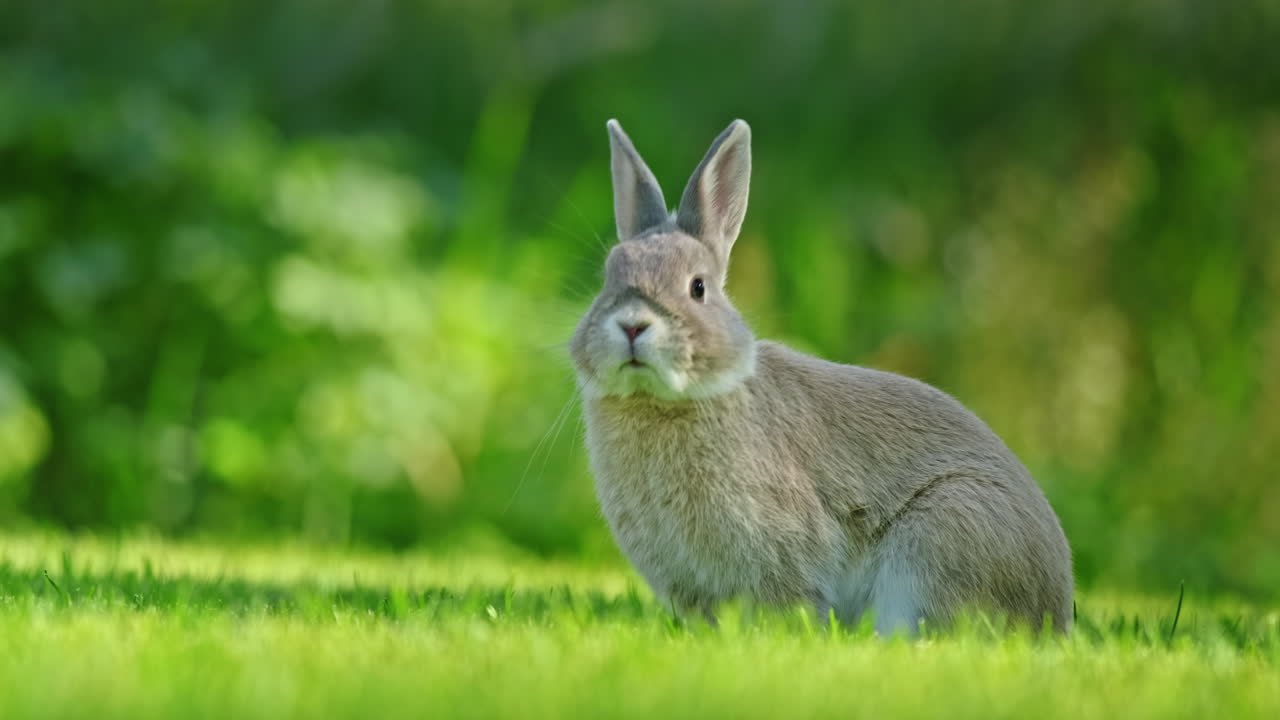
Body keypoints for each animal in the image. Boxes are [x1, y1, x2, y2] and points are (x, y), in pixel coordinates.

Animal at [569, 118, 1073, 634]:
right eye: (608, 278)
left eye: (697, 287)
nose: (632, 325)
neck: (666, 401)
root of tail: (1056, 604)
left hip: (942, 536)